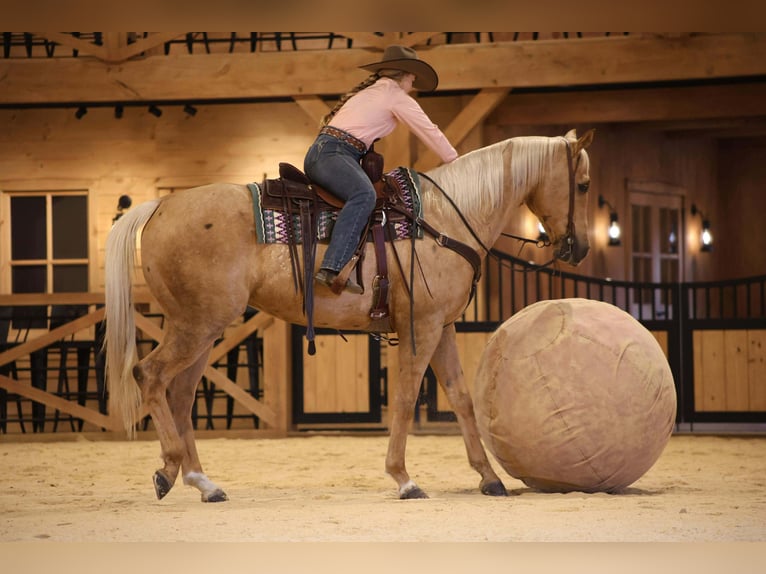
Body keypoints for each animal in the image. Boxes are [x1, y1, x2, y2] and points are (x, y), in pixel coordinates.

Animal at [104, 128, 594, 502]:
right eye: (584, 185)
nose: (581, 249)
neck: (443, 220)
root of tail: (160, 206)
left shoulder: (444, 327)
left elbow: (460, 398)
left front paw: (489, 478)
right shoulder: (420, 328)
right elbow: (405, 397)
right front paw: (404, 479)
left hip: (203, 331)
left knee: (181, 395)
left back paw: (203, 483)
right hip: (197, 327)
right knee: (150, 375)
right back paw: (168, 470)